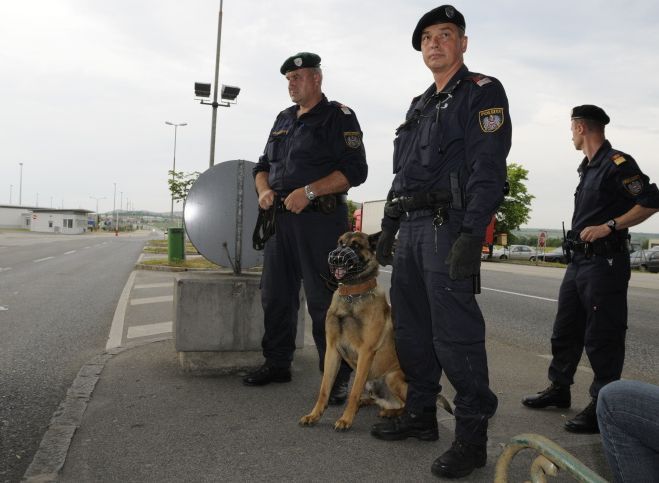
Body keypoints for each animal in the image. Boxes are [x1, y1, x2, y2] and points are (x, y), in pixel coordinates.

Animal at [302, 231, 410, 432]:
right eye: (340, 243)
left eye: (356, 246)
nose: (335, 258)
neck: (352, 295)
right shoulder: (331, 350)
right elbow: (324, 389)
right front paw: (314, 415)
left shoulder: (365, 353)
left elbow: (353, 391)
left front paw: (346, 419)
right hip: (372, 383)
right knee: (378, 399)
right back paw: (366, 402)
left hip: (392, 377)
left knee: (404, 405)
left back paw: (389, 413)